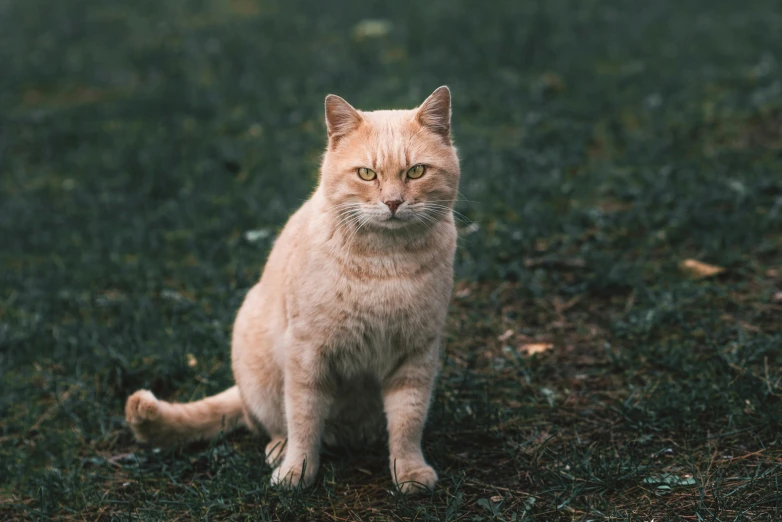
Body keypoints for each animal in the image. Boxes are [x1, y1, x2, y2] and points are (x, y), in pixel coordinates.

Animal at [124, 86, 460, 492]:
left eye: (416, 171)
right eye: (366, 174)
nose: (393, 202)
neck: (387, 265)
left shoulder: (416, 355)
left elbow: (408, 422)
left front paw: (408, 471)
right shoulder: (307, 353)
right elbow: (303, 419)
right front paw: (296, 471)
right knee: (271, 424)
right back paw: (279, 450)